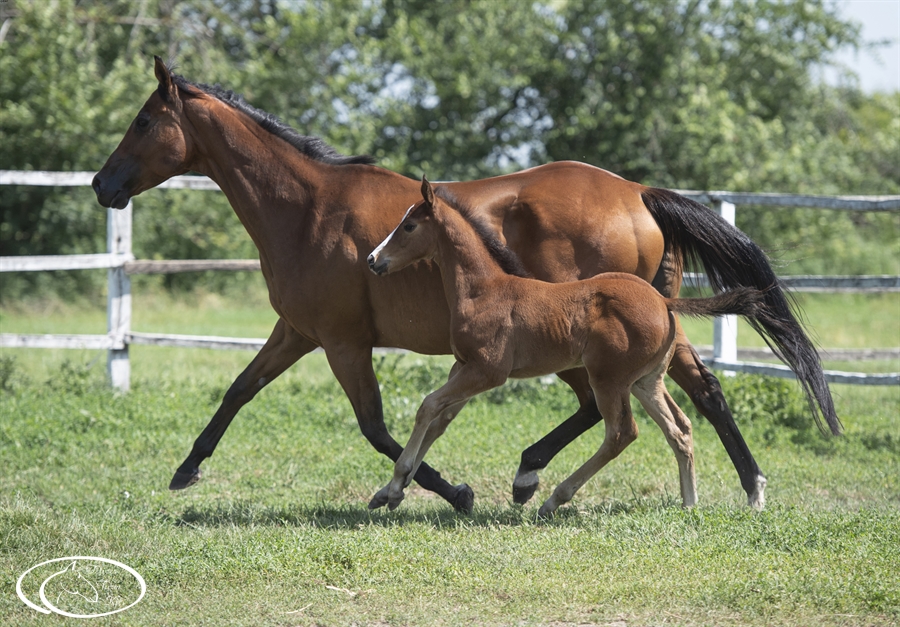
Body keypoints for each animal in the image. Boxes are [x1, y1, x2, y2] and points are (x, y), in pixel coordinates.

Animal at [368, 177, 772, 516]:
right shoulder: (462, 366)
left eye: (409, 226)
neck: (484, 289)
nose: (373, 260)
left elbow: (428, 406)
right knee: (680, 428)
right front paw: (391, 491)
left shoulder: (487, 371)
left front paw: (398, 481)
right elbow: (439, 419)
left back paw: (553, 499)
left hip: (608, 379)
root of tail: (663, 301)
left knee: (623, 432)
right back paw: (689, 502)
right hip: (646, 381)